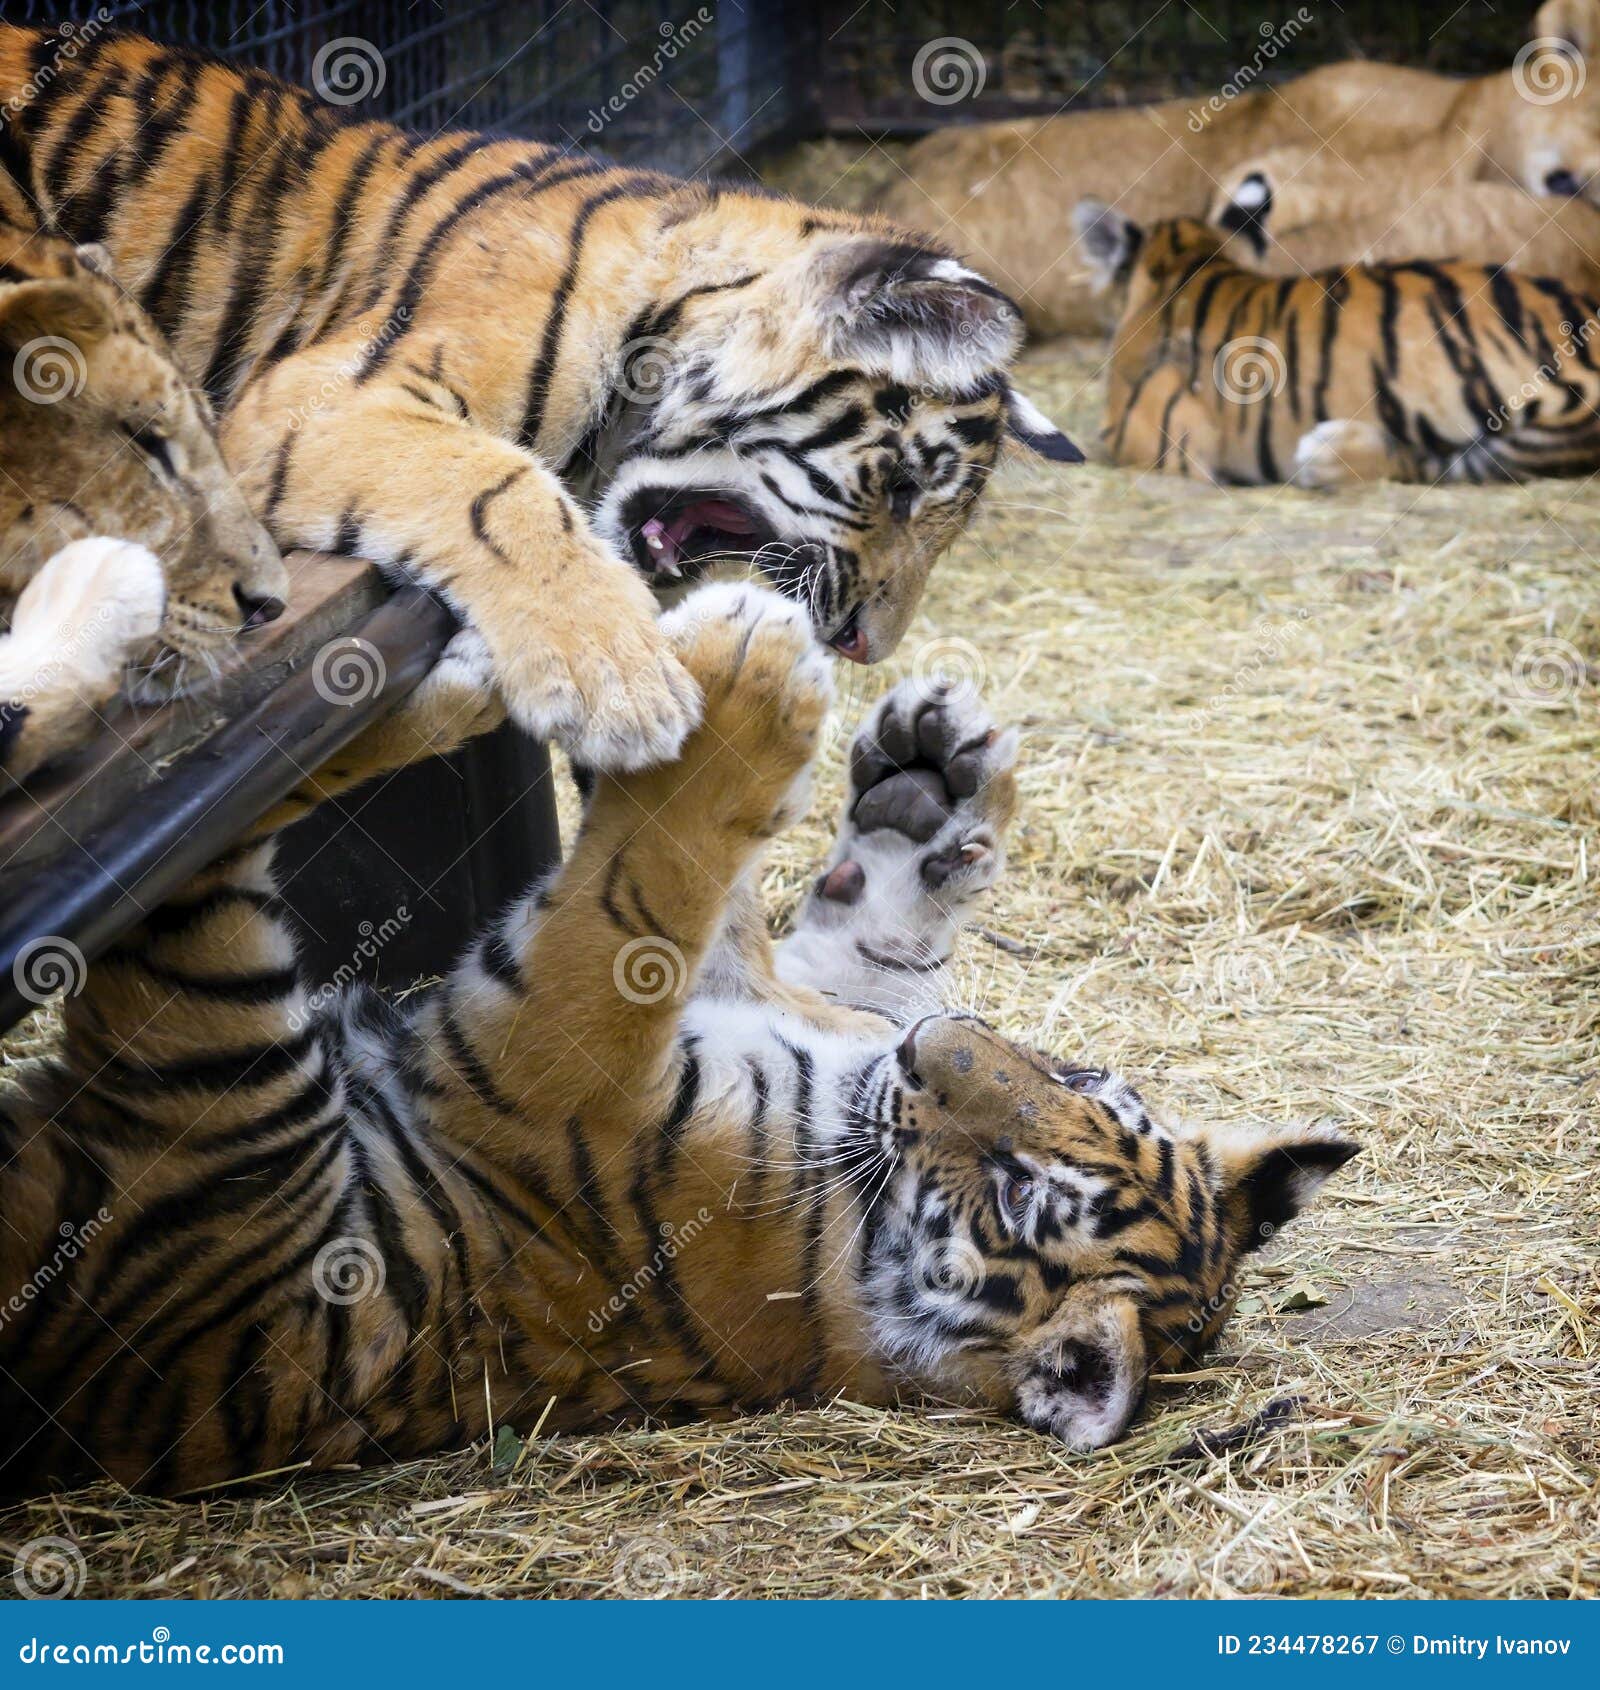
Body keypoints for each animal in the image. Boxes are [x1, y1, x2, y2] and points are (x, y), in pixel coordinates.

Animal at [0, 581, 1358, 1493]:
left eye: (1020, 1196)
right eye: (1075, 1076)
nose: (935, 1053)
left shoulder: (559, 1065)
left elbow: (641, 892)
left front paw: (752, 678)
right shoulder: (807, 1002)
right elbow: (832, 941)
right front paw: (922, 792)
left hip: (223, 1072)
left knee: (202, 828)